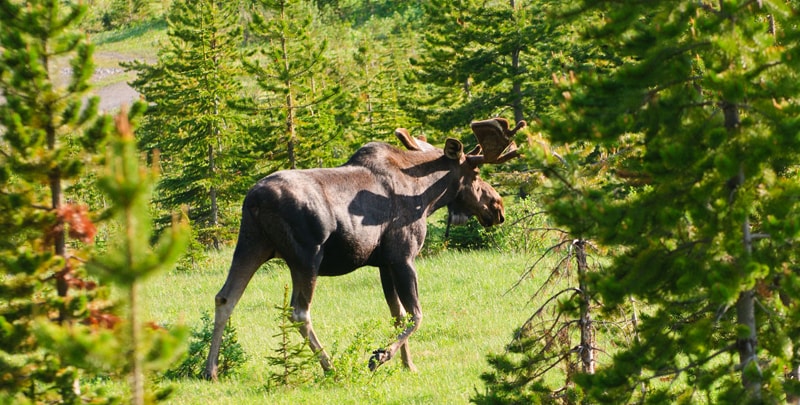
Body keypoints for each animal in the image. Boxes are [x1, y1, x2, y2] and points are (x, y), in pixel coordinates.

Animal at [205, 117, 524, 378]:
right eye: (476, 174)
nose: (497, 207)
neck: (427, 197)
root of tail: (254, 201)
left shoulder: (383, 263)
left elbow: (397, 315)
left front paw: (408, 364)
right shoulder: (403, 255)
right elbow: (416, 314)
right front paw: (380, 356)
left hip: (251, 243)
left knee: (225, 298)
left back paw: (211, 370)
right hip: (305, 257)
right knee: (298, 312)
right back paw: (330, 366)